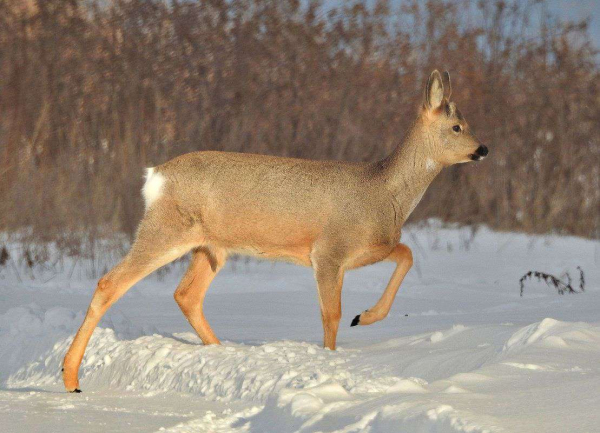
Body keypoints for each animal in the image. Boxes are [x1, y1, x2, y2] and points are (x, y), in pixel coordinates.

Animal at [63, 68, 490, 392]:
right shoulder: (328, 251)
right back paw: (70, 378)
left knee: (186, 294)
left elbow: (406, 254)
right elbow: (331, 314)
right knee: (110, 283)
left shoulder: (371, 248)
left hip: (211, 247)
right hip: (165, 230)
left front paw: (366, 316)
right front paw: (334, 353)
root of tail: (155, 178)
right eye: (457, 126)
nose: (483, 149)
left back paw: (222, 352)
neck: (383, 191)